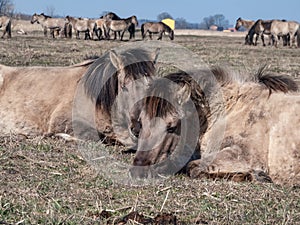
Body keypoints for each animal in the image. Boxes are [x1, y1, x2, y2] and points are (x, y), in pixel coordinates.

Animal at [131, 66, 300, 185]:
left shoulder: (242, 155)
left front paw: (256, 176)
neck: (231, 111)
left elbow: (193, 168)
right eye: (142, 123)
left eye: (172, 127)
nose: (138, 170)